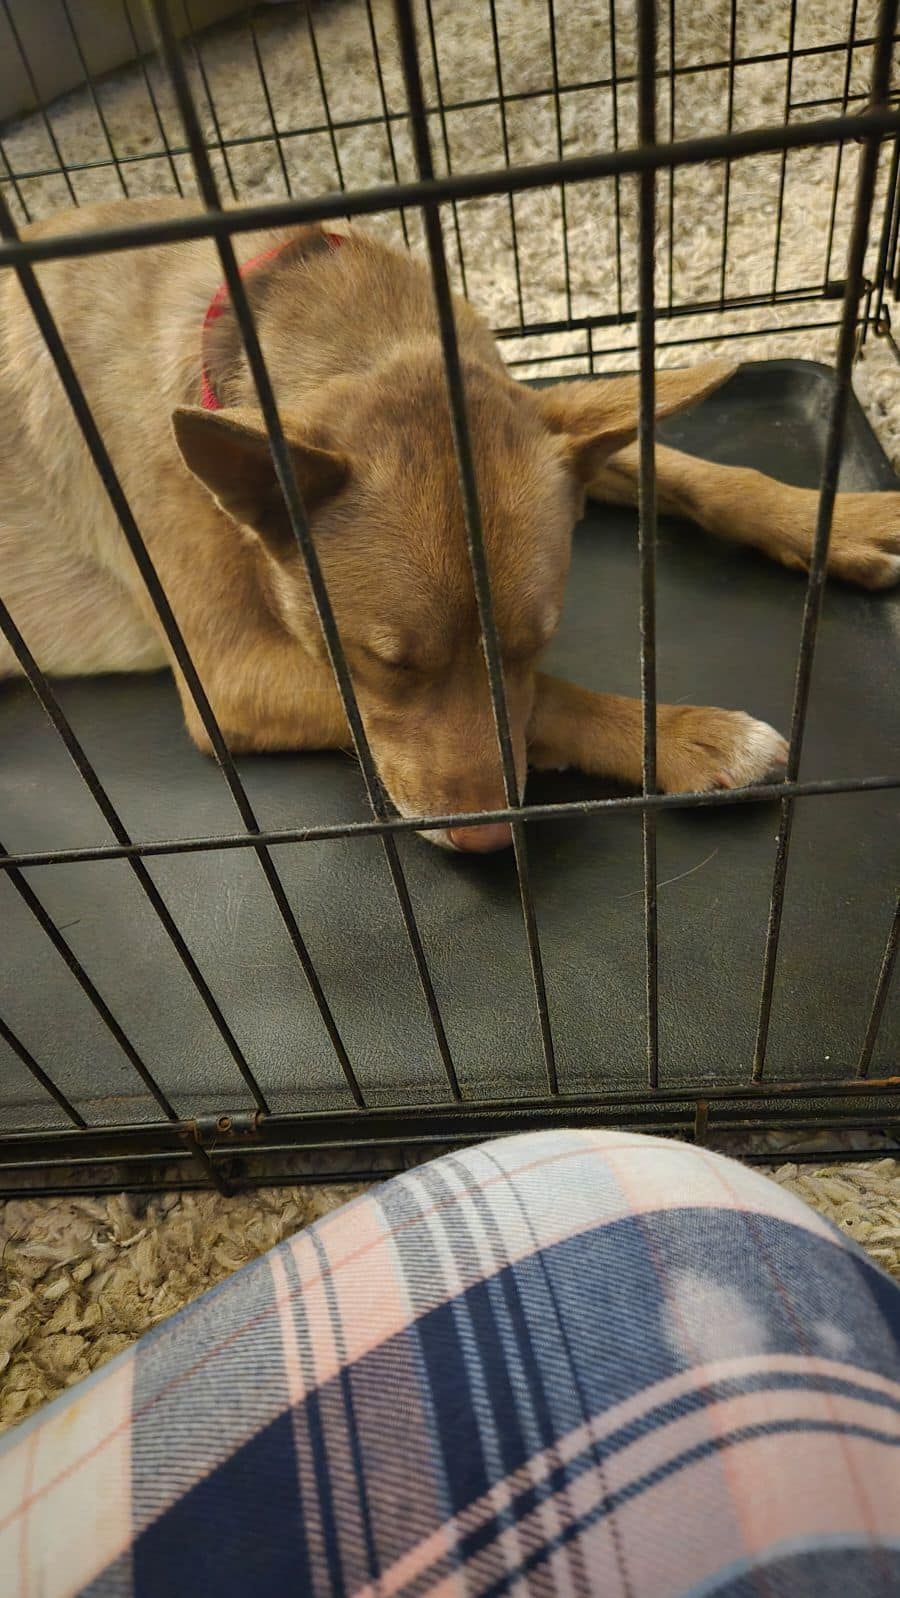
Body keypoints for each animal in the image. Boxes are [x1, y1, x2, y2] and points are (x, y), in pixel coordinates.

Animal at [0, 198, 895, 850]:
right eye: (380, 664)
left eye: (533, 643)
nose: (489, 844)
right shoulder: (230, 677)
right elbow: (554, 704)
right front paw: (688, 735)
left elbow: (683, 467)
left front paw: (838, 517)